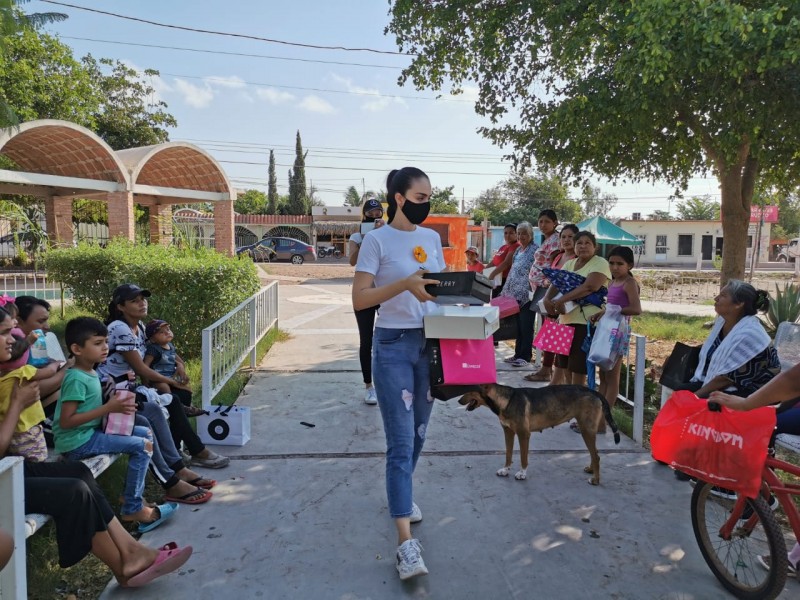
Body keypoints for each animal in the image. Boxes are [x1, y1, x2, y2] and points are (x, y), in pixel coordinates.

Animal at [460, 384, 620, 488]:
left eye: (469, 390)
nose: (458, 400)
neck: (506, 400)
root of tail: (594, 392)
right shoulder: (508, 432)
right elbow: (508, 454)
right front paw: (505, 470)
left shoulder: (523, 434)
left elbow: (523, 457)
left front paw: (522, 474)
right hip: (587, 431)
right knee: (595, 454)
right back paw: (591, 470)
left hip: (586, 430)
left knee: (596, 455)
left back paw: (596, 480)